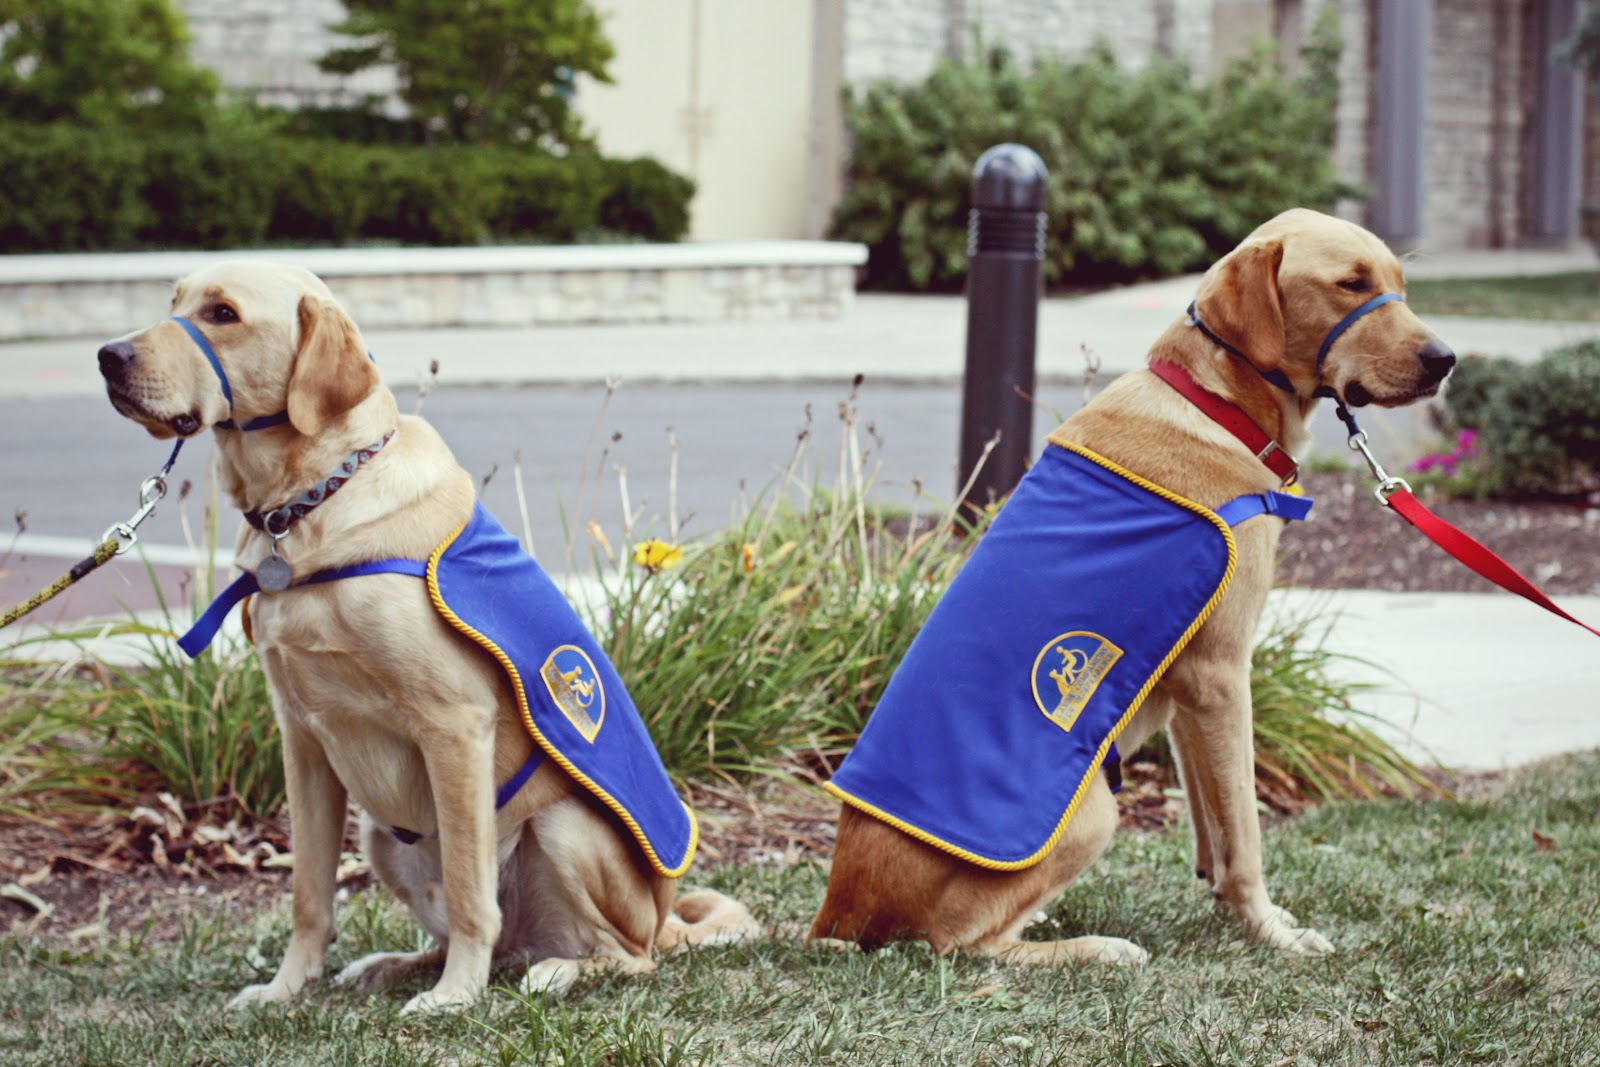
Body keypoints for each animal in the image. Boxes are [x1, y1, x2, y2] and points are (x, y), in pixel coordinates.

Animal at [99, 262, 757, 1014]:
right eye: (174, 301)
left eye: (223, 313)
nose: (108, 356)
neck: (311, 501)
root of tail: (666, 917)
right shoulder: (302, 737)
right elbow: (309, 895)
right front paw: (286, 988)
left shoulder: (455, 726)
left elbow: (474, 895)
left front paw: (455, 998)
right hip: (379, 834)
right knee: (497, 940)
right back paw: (394, 964)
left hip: (563, 829)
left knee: (621, 956)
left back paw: (552, 972)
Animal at [809, 208, 1455, 964]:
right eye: (1350, 284)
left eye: (1398, 284)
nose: (1446, 359)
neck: (1219, 402)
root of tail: (836, 914)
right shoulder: (1222, 672)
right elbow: (1245, 831)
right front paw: (1270, 930)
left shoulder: (1187, 684)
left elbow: (1211, 818)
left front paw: (1233, 908)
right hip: (1094, 810)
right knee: (962, 945)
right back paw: (1091, 947)